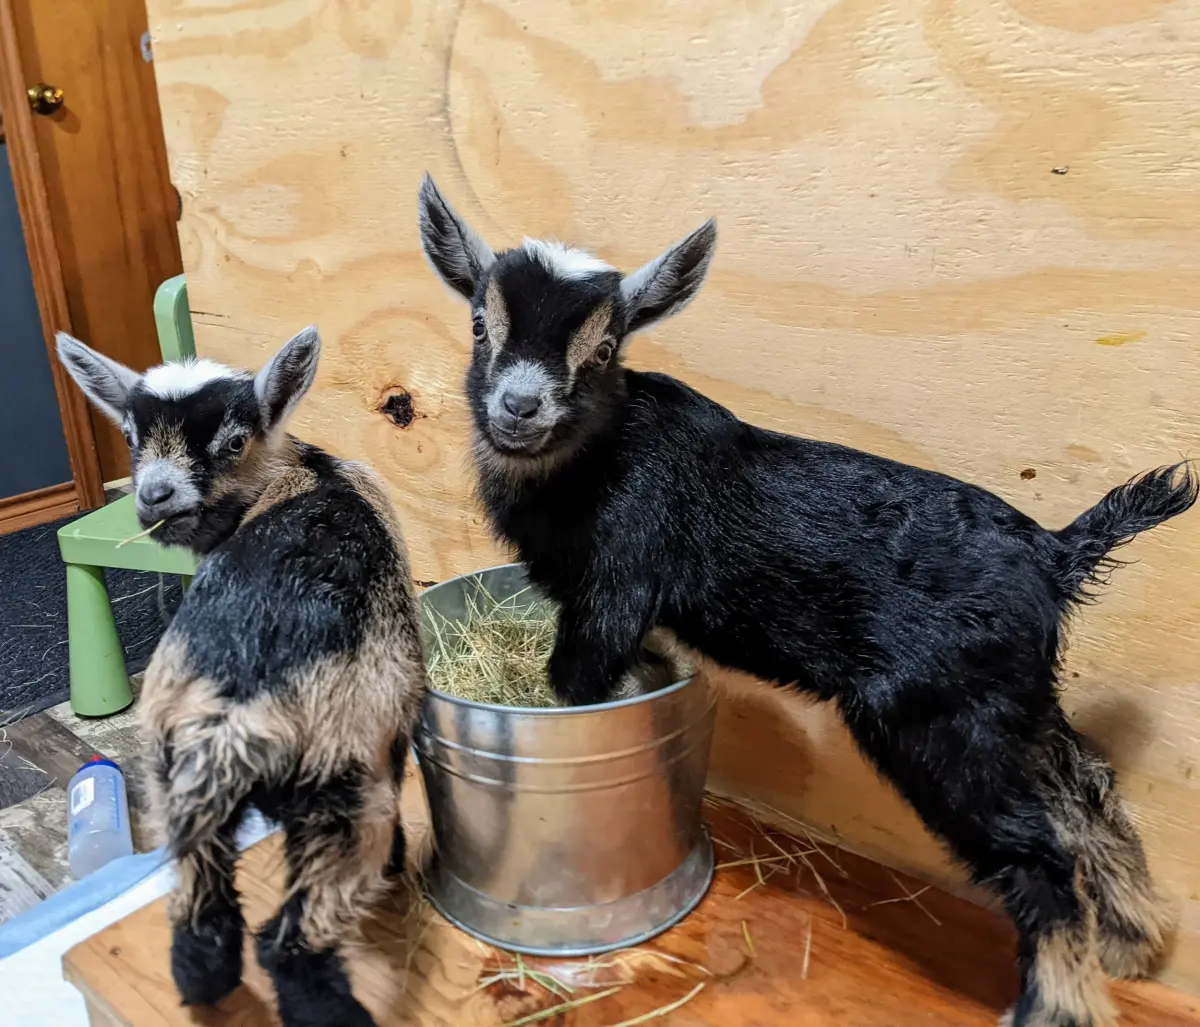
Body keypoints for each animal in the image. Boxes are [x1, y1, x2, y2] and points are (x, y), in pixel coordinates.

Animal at [57, 328, 424, 1027]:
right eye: (129, 438)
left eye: (232, 442)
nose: (155, 496)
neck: (298, 469)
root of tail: (235, 716)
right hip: (343, 792)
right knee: (289, 941)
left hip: (174, 778)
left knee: (203, 915)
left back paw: (202, 986)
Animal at [417, 173, 1197, 1027]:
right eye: (481, 324)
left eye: (605, 349)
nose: (520, 407)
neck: (590, 461)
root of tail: (1056, 552)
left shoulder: (614, 591)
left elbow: (574, 685)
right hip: (1014, 698)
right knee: (1084, 784)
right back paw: (1133, 938)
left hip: (939, 716)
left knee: (1037, 851)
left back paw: (1054, 1005)